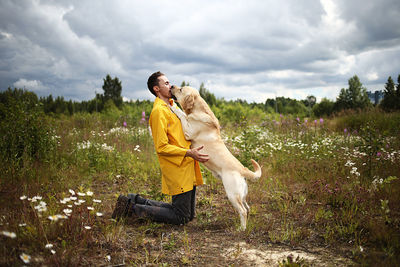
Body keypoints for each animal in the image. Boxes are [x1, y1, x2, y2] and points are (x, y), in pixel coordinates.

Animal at [170, 85, 260, 230]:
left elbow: (182, 115)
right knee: (247, 207)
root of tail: (243, 169)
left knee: (243, 211)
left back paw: (241, 229)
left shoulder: (188, 131)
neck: (199, 110)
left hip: (232, 194)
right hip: (242, 194)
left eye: (181, 89)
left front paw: (173, 106)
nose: (172, 86)